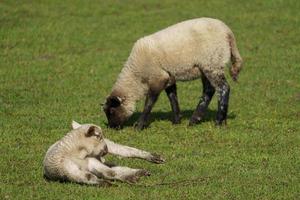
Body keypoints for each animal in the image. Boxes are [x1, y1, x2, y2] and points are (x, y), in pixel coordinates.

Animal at [102, 17, 243, 130]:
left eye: (112, 111)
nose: (112, 128)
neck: (136, 76)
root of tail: (228, 32)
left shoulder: (157, 77)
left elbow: (149, 102)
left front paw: (139, 125)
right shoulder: (169, 77)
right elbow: (172, 97)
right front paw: (176, 120)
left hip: (212, 63)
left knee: (223, 88)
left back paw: (218, 122)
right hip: (206, 66)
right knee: (209, 90)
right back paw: (195, 120)